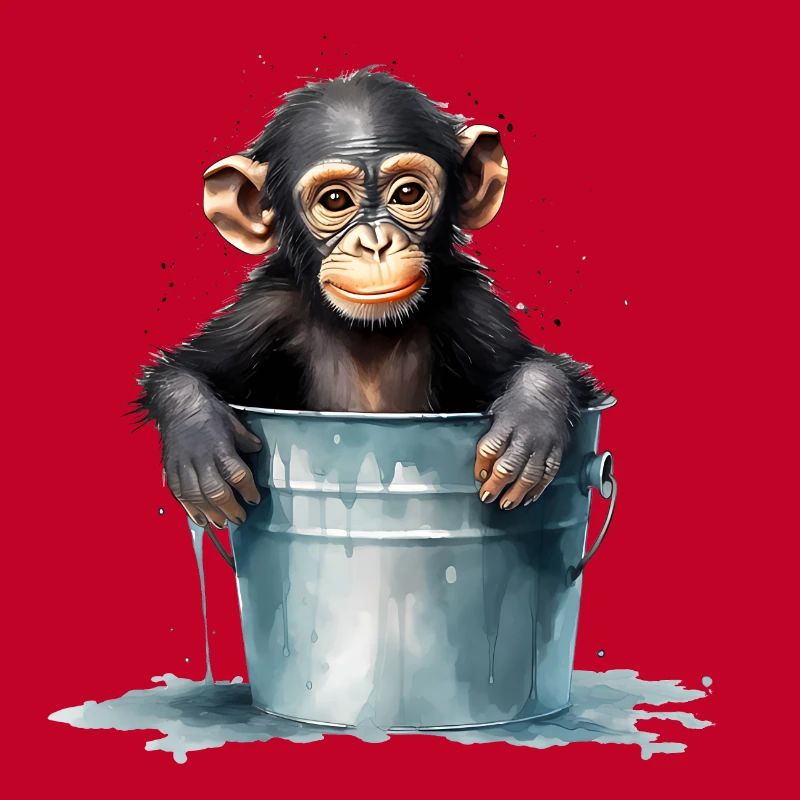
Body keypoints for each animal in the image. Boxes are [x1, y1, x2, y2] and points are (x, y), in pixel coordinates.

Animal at [137, 68, 604, 531]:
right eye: (335, 200)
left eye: (407, 195)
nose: (376, 244)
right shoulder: (264, 311)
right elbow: (189, 369)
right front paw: (199, 444)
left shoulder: (471, 309)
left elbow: (538, 366)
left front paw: (529, 422)